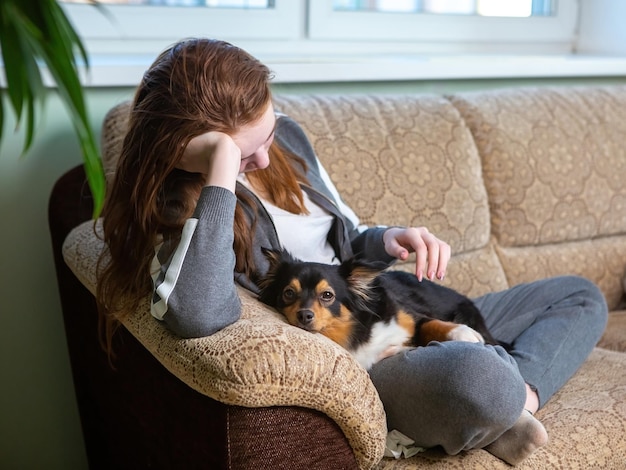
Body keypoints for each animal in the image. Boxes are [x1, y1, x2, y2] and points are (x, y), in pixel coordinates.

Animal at [256, 250, 500, 370]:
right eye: (288, 293)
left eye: (327, 295)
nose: (304, 315)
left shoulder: (410, 315)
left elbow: (430, 323)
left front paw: (463, 333)